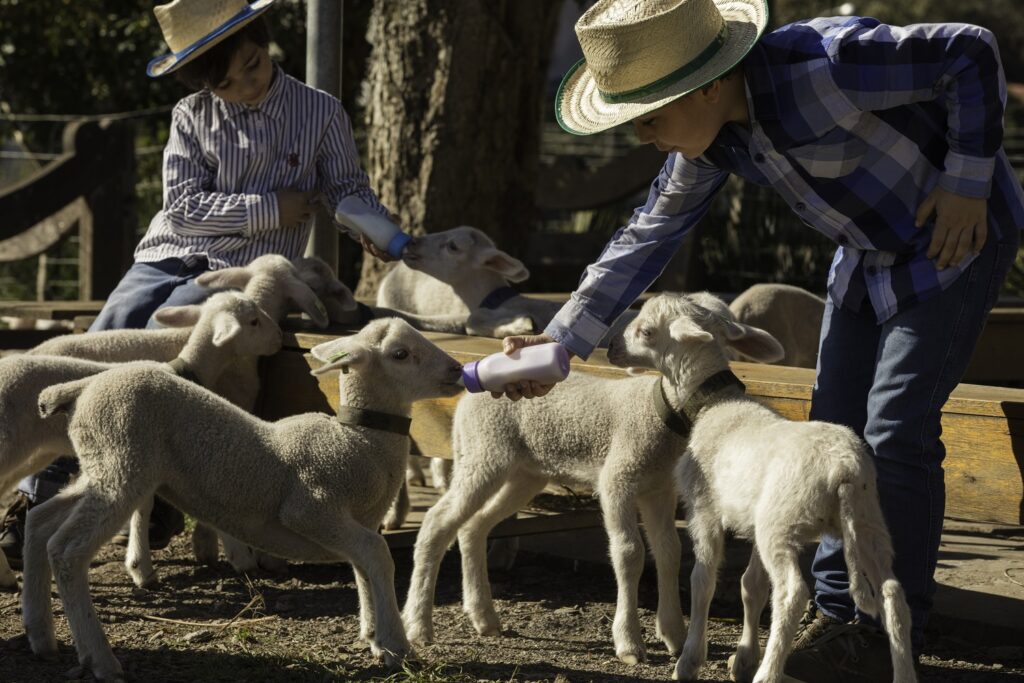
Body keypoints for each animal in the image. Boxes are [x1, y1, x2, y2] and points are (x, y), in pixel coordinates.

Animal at [0, 290, 280, 589]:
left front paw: (139, 566)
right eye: (253, 321)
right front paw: (241, 558)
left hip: (33, 451)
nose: (278, 338)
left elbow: (143, 506)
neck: (186, 368)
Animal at [24, 317, 464, 679]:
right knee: (67, 550)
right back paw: (99, 657)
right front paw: (396, 646)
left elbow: (363, 567)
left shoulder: (357, 520)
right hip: (120, 463)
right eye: (401, 354)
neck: (360, 441)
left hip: (100, 465)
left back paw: (40, 634)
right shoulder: (311, 507)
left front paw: (374, 635)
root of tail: (83, 388)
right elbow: (378, 556)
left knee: (40, 522)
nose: (458, 370)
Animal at [598, 292, 913, 683]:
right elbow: (752, 587)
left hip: (781, 523)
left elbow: (703, 580)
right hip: (867, 522)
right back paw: (904, 673)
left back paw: (768, 673)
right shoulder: (750, 519)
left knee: (792, 595)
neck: (716, 404)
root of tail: (844, 469)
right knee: (892, 594)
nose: (612, 348)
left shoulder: (704, 509)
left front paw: (690, 660)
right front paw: (743, 659)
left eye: (645, 331)